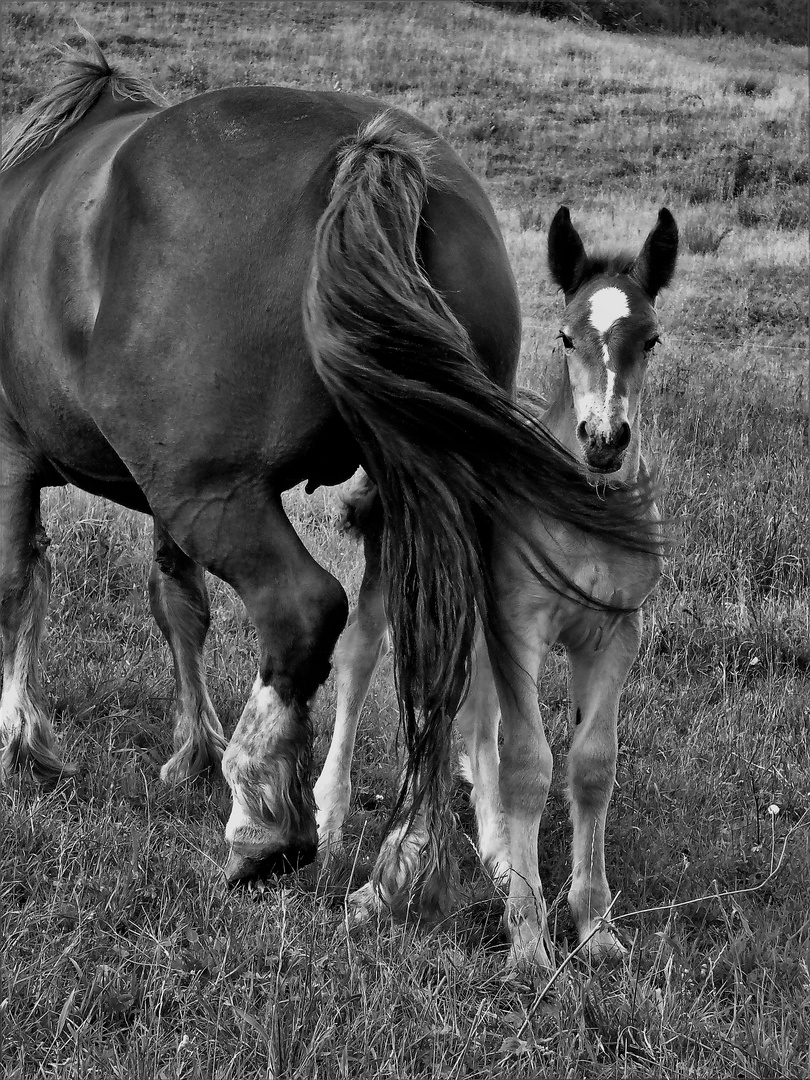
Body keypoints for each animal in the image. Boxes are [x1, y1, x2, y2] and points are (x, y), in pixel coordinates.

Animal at [0, 38, 660, 902]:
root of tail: (368, 153)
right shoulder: (158, 494)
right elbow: (177, 605)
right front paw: (192, 749)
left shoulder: (27, 460)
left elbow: (17, 586)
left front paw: (22, 739)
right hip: (389, 497)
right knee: (438, 652)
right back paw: (418, 846)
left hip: (217, 495)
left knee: (302, 610)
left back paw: (263, 825)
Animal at [317, 206, 678, 967]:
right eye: (567, 335)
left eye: (651, 340)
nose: (605, 440)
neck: (584, 508)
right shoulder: (523, 627)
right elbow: (529, 766)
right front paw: (529, 943)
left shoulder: (615, 631)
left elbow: (591, 765)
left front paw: (596, 928)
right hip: (401, 574)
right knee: (360, 658)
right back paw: (331, 821)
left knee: (475, 709)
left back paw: (493, 850)